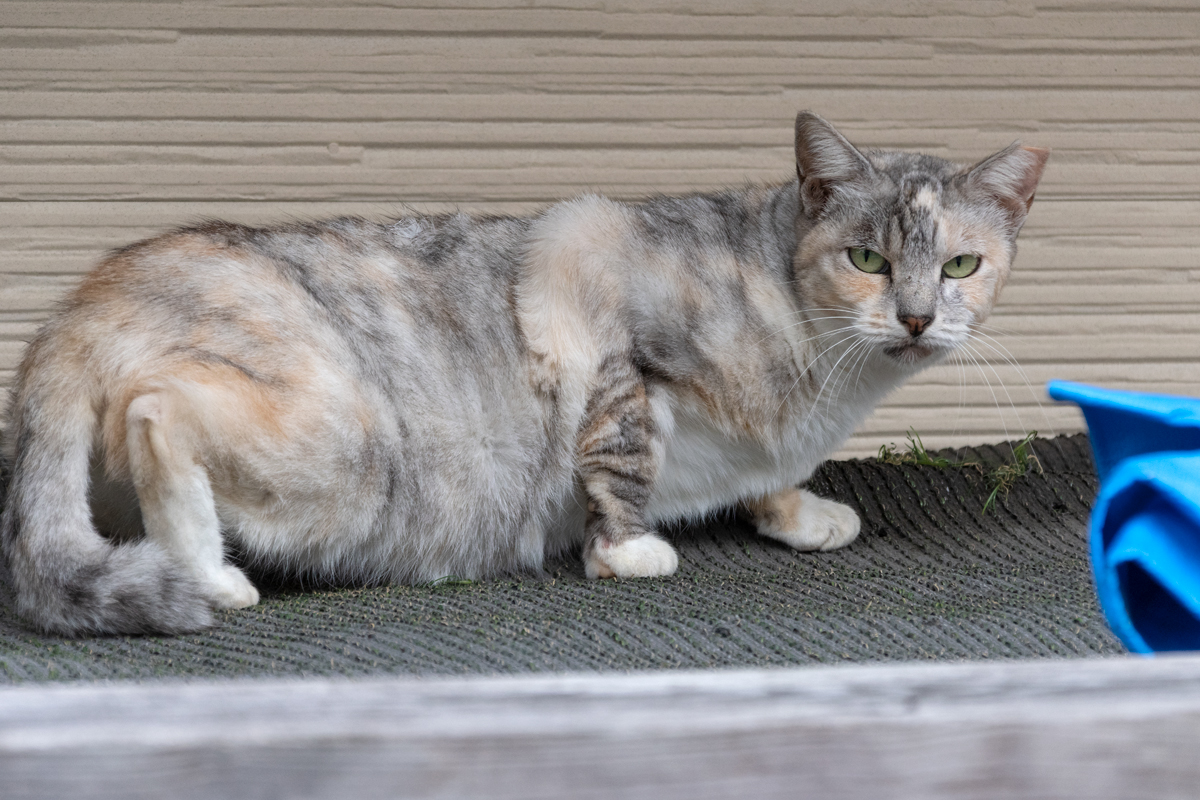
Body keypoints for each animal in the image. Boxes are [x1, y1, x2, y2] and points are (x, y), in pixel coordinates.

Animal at [0, 113, 1051, 638]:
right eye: (867, 259)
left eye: (961, 265)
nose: (915, 316)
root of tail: (81, 307)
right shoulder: (607, 307)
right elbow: (620, 457)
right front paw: (628, 551)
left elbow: (772, 476)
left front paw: (799, 511)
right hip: (345, 450)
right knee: (156, 412)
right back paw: (211, 576)